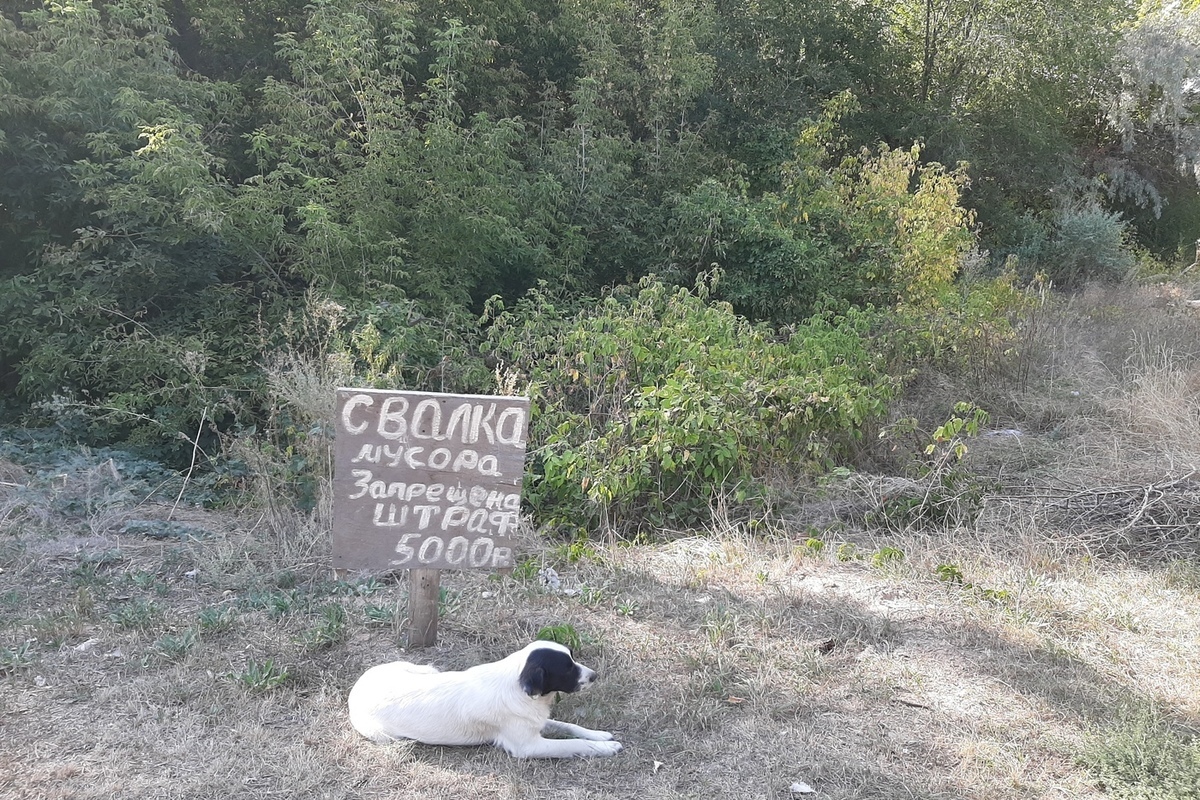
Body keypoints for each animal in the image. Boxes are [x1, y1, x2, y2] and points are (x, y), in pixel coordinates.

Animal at [348, 642, 624, 762]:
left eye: (572, 658)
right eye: (567, 668)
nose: (594, 675)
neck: (515, 684)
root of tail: (356, 689)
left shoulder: (533, 721)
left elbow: (569, 727)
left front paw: (598, 735)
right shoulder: (527, 746)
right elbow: (572, 743)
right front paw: (605, 748)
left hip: (425, 669)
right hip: (386, 736)